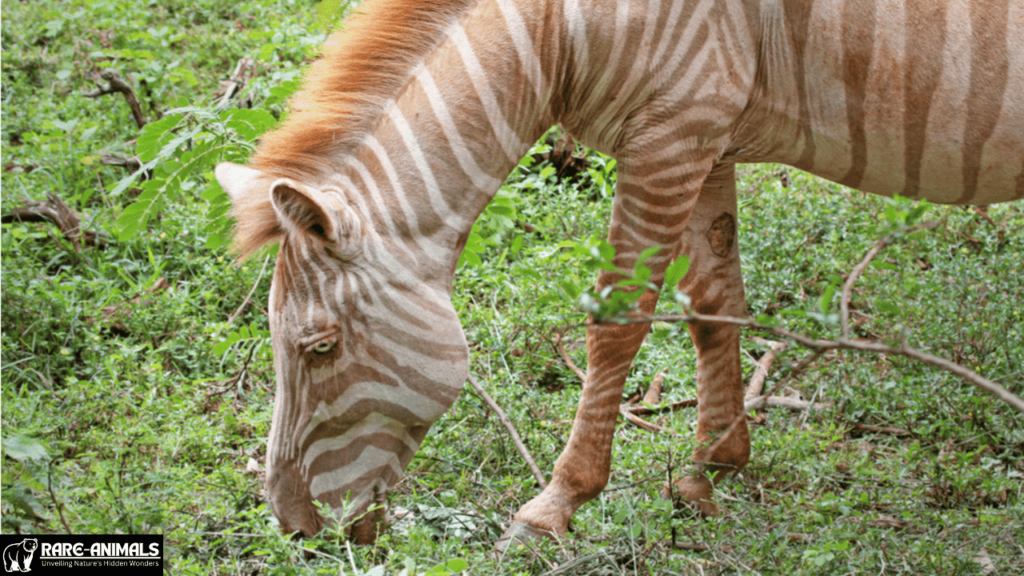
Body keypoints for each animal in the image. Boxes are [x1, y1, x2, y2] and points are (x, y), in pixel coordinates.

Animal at [211, 0, 1019, 541]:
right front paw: (709, 469)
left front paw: (556, 505)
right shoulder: (707, 139)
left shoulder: (671, 135)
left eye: (320, 349)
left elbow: (618, 323)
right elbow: (713, 302)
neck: (557, 31)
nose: (292, 527)